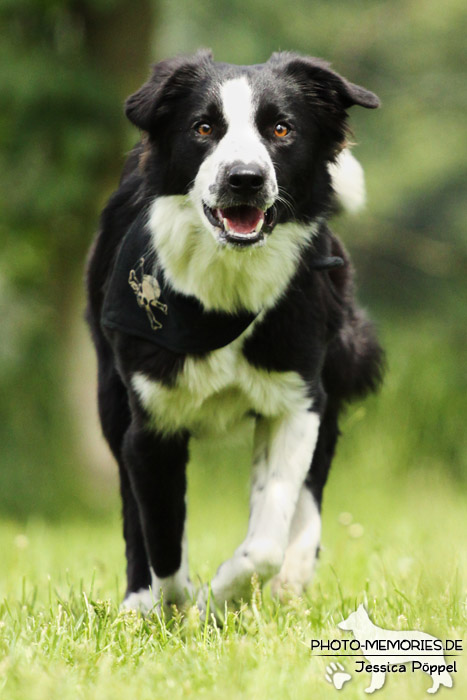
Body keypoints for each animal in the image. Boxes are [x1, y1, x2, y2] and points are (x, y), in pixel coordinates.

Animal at [87, 50, 384, 612]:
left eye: (281, 129)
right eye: (203, 128)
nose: (245, 178)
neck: (225, 289)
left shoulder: (297, 397)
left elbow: (265, 538)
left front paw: (222, 595)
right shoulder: (150, 419)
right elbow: (162, 537)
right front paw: (178, 603)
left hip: (334, 365)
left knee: (308, 488)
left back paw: (292, 576)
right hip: (110, 395)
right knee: (134, 511)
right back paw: (138, 602)